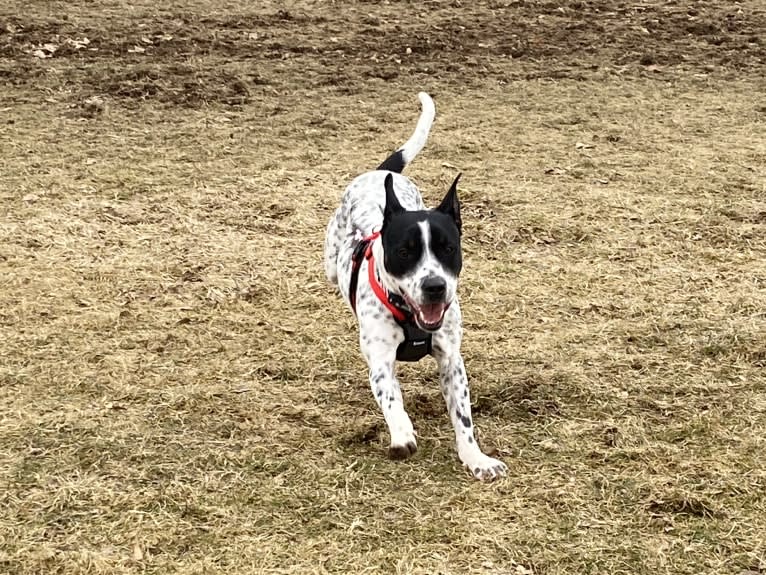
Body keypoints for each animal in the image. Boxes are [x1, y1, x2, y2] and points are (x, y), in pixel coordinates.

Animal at [326, 93, 510, 482]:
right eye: (404, 252)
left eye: (448, 249)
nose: (435, 286)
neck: (411, 316)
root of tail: (384, 173)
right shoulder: (381, 359)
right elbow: (391, 398)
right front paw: (401, 433)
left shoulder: (452, 360)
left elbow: (464, 418)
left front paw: (475, 458)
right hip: (330, 265)